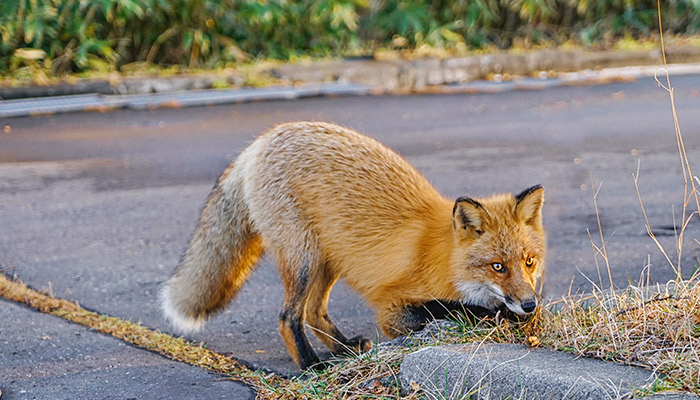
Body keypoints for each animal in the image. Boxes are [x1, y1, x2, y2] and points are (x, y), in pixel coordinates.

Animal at [161, 121, 544, 368]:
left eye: (529, 262)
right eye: (497, 266)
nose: (529, 305)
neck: (445, 260)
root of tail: (264, 138)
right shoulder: (394, 309)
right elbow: (451, 309)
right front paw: (491, 314)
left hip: (329, 259)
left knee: (314, 312)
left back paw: (344, 348)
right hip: (303, 259)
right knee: (289, 317)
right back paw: (312, 366)